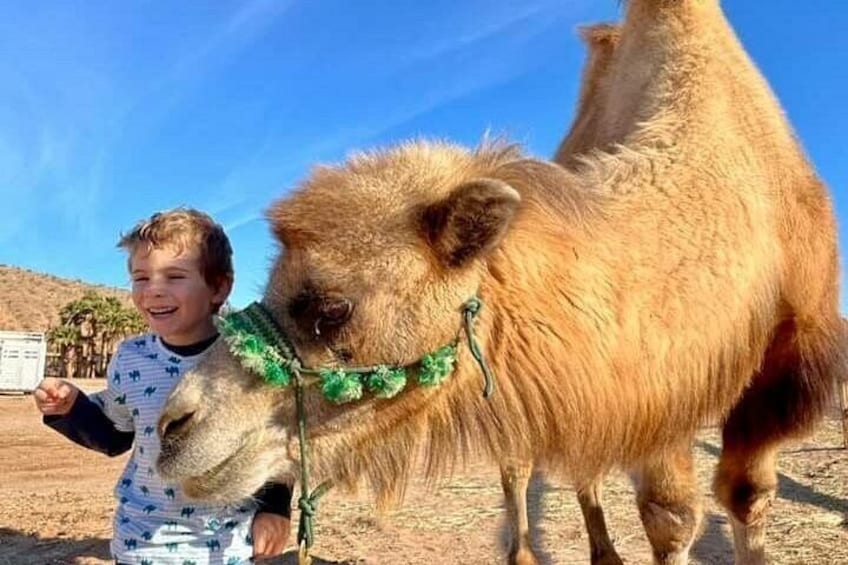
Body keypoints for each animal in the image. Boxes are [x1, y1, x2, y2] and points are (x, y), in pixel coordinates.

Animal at [157, 1, 844, 564]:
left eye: (333, 307)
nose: (172, 427)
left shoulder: (756, 365)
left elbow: (738, 496)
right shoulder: (649, 378)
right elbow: (667, 514)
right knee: (528, 465)